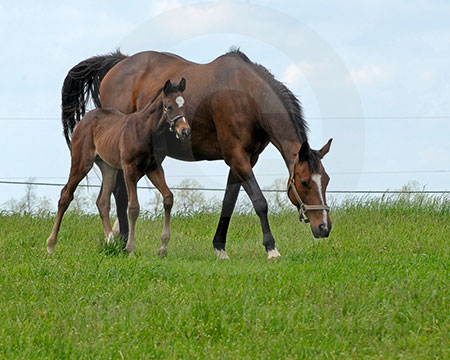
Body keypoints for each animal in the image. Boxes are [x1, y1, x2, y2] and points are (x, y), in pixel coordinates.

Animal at [47, 78, 190, 253]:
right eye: (169, 106)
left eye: (184, 105)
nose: (185, 131)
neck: (147, 130)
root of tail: (84, 120)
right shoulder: (129, 169)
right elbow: (133, 207)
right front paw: (130, 248)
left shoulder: (154, 168)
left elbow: (168, 197)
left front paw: (163, 248)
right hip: (81, 163)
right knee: (66, 195)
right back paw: (51, 245)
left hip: (108, 167)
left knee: (102, 201)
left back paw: (111, 240)